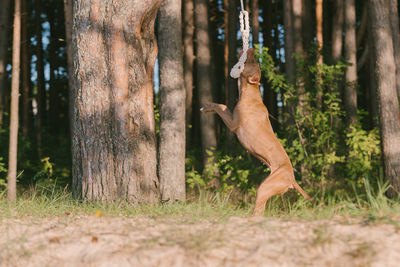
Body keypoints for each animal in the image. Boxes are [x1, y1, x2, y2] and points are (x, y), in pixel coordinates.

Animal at [202, 48, 310, 217]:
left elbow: (222, 106)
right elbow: (219, 106)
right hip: (266, 187)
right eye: (256, 62)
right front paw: (208, 107)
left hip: (264, 188)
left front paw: (207, 107)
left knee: (258, 211)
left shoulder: (233, 124)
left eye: (251, 62)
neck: (250, 92)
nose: (251, 48)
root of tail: (292, 180)